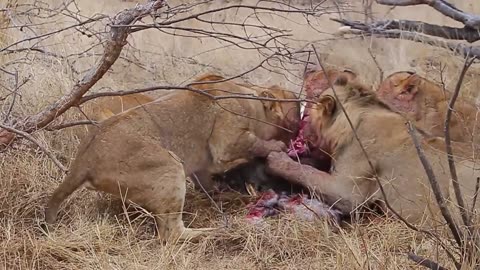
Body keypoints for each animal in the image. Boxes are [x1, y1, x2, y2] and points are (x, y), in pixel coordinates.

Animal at [45, 73, 300, 240]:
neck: (250, 97)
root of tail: (83, 160)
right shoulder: (227, 142)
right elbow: (254, 144)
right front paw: (276, 146)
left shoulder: (202, 167)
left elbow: (206, 183)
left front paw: (221, 195)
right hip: (169, 166)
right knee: (172, 234)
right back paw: (215, 232)